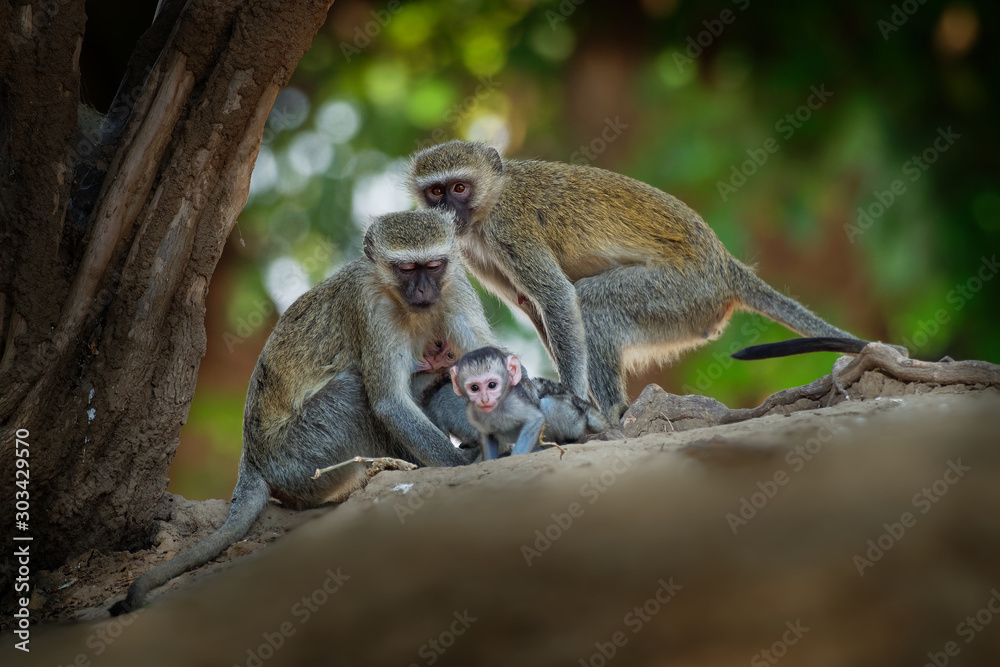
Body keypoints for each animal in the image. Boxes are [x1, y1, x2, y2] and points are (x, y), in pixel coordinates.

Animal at [111, 210, 497, 614]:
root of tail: (252, 456)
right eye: (406, 269)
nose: (423, 292)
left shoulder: (456, 288)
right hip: (301, 454)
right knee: (353, 391)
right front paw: (460, 464)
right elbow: (389, 401)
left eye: (434, 266)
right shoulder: (369, 304)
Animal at [409, 140, 880, 419]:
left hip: (681, 294)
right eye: (436, 192)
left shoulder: (509, 227)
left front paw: (572, 398)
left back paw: (615, 411)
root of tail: (725, 266)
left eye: (459, 188)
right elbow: (538, 309)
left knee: (591, 303)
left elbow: (558, 297)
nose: (447, 211)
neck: (491, 201)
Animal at [449, 347, 609, 460]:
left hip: (573, 420)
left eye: (492, 385)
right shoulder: (473, 413)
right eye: (474, 388)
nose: (484, 399)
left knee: (547, 405)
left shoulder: (514, 403)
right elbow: (488, 436)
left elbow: (535, 419)